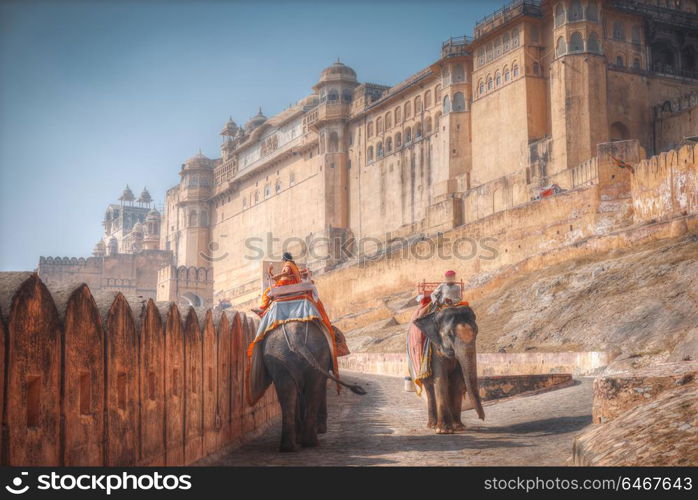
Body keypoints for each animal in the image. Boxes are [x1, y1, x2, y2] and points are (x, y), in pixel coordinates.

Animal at [258, 320, 362, 454]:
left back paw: (289, 447)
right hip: (317, 354)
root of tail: (296, 336)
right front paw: (320, 430)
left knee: (286, 391)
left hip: (280, 356)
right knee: (314, 389)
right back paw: (311, 443)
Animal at [414, 304, 484, 434]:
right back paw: (432, 425)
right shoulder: (435, 348)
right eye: (449, 335)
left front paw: (458, 427)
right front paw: (443, 431)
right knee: (429, 388)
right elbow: (440, 379)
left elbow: (457, 381)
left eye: (476, 332)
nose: (481, 418)